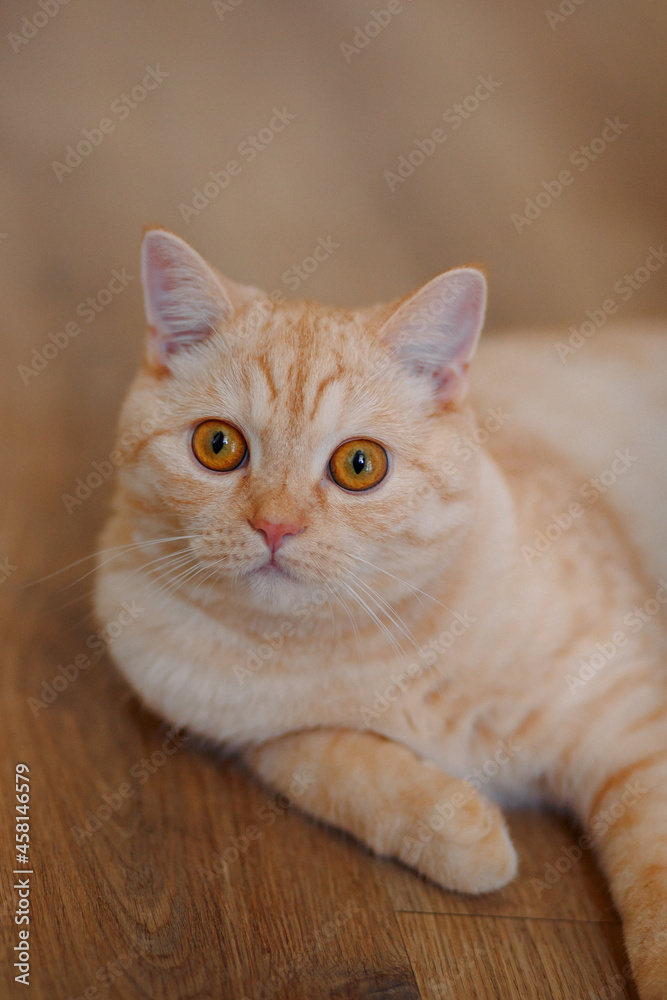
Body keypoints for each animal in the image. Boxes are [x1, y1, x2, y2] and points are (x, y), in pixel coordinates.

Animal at [95, 227, 667, 1000]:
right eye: (217, 446)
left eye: (359, 465)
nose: (275, 526)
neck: (369, 644)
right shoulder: (248, 732)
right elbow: (338, 767)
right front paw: (465, 833)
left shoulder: (632, 715)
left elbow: (655, 875)